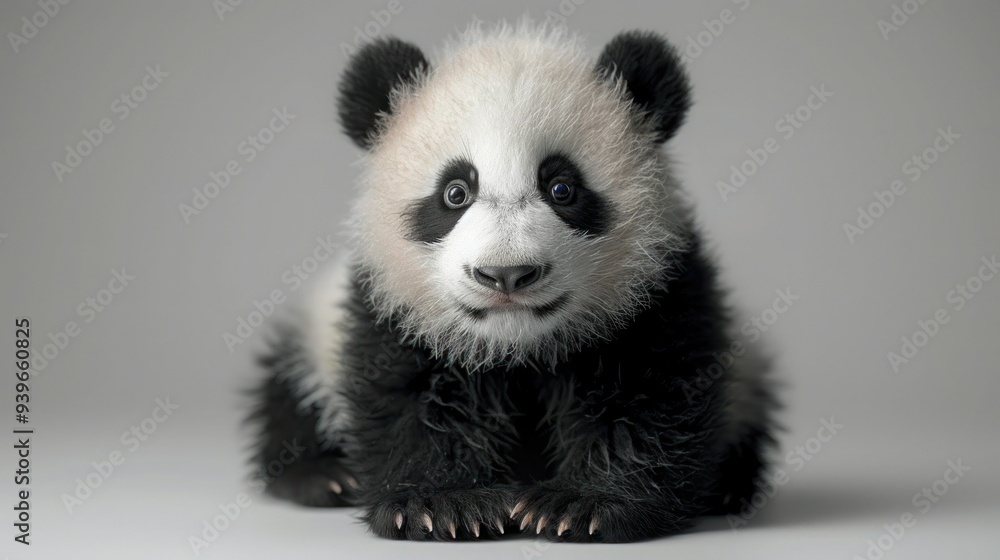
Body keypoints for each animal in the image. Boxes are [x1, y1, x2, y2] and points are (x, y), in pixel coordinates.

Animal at [247, 21, 777, 543]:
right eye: (455, 192)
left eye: (562, 188)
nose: (506, 274)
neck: (516, 348)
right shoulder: (391, 303)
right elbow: (409, 398)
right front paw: (442, 505)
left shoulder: (660, 290)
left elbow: (650, 396)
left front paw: (583, 505)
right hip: (314, 334)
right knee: (288, 389)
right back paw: (322, 476)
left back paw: (729, 484)